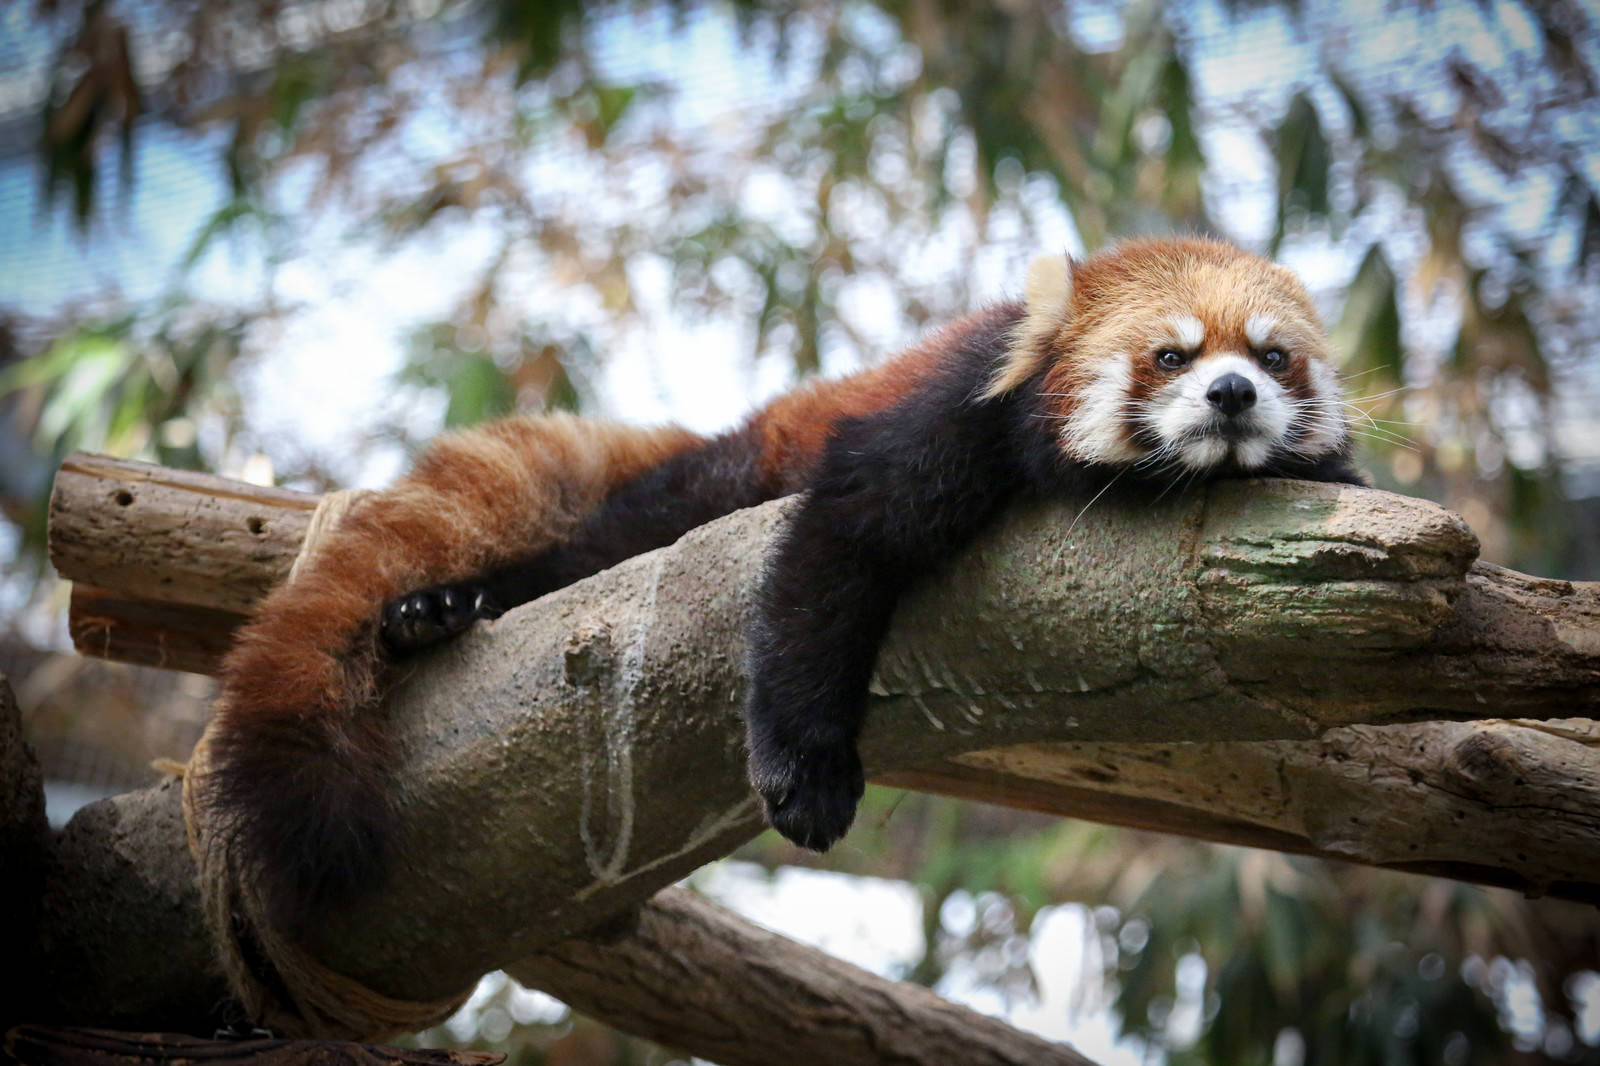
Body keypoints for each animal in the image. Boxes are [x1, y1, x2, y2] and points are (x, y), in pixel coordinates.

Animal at [196, 235, 1350, 928]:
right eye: (1172, 355)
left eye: (1272, 355)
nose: (1234, 394)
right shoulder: (944, 417)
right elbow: (826, 569)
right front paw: (807, 770)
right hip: (716, 480)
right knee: (597, 548)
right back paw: (446, 608)